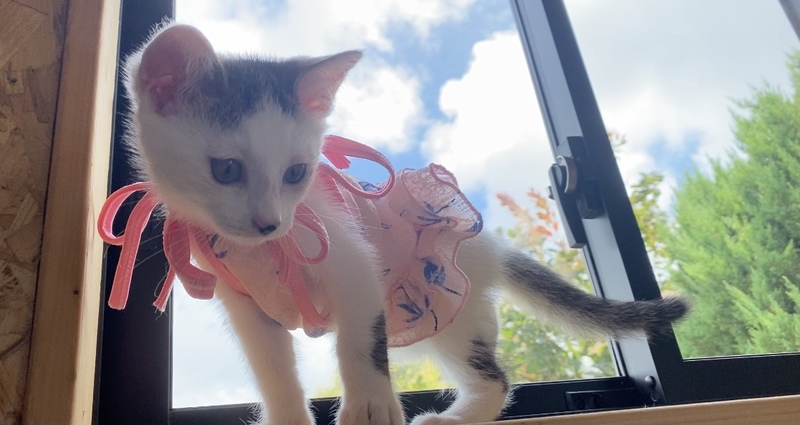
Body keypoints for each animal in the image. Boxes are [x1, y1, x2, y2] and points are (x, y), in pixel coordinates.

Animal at [122, 23, 689, 425]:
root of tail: (491, 247)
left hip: (442, 300)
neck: (263, 252)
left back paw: (451, 420)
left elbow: (360, 343)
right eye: (226, 170)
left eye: (296, 173)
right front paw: (287, 416)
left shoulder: (355, 263)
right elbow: (273, 370)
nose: (270, 223)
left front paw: (370, 407)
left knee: (495, 379)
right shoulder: (246, 304)